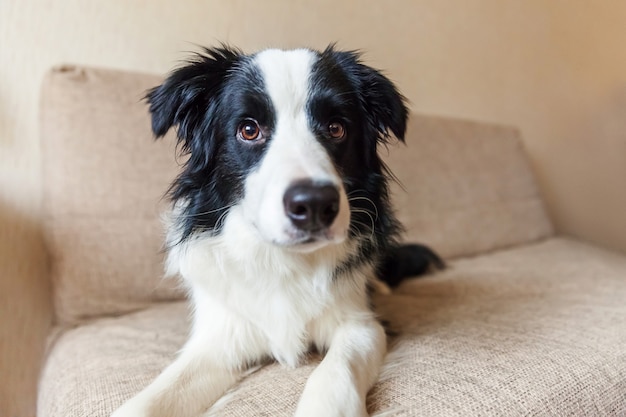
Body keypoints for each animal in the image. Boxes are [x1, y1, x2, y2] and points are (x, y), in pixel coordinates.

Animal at [112, 45, 442, 416]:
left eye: (336, 128)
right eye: (249, 129)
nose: (314, 204)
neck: (282, 259)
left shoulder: (362, 324)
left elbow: (336, 371)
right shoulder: (221, 337)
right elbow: (150, 399)